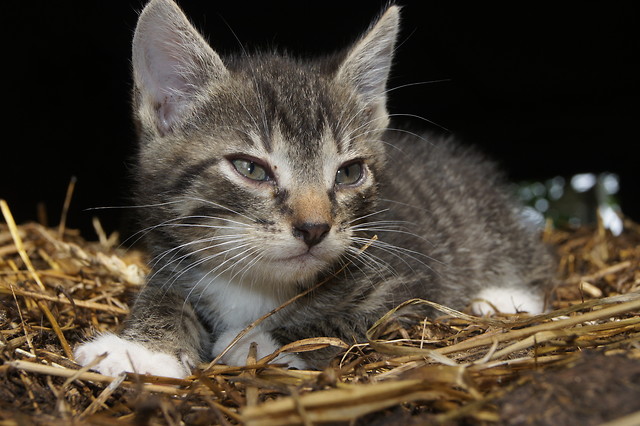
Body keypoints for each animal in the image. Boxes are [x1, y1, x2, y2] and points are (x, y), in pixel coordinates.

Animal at [74, 0, 556, 380]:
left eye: (349, 173)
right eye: (250, 168)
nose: (314, 228)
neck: (258, 285)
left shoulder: (411, 280)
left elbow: (347, 318)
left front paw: (262, 342)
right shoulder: (174, 264)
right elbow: (163, 298)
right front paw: (140, 350)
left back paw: (502, 297)